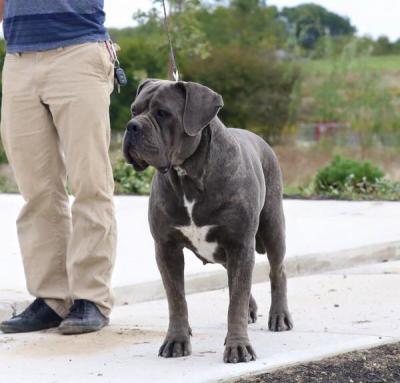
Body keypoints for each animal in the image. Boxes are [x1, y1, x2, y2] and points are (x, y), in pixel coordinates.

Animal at [123, 80, 292, 364]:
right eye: (134, 110)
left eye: (162, 113)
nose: (131, 126)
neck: (187, 176)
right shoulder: (166, 248)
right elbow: (177, 299)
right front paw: (176, 340)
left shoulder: (239, 244)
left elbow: (235, 301)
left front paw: (238, 347)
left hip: (272, 228)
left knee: (276, 271)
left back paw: (279, 316)